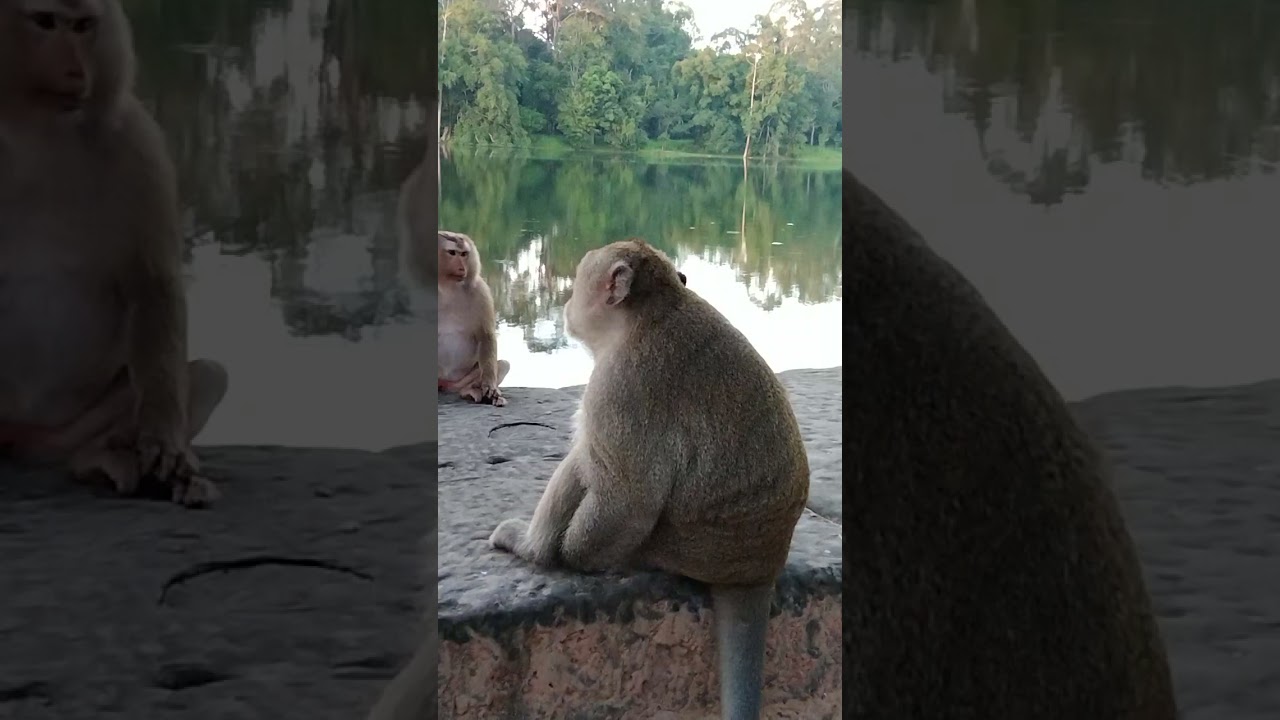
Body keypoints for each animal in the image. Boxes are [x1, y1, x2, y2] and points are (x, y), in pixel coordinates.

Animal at [0, 0, 229, 507]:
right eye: (45, 21)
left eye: (84, 26)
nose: (75, 70)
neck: (31, 127)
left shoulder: (135, 142)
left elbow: (153, 285)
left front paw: (163, 445)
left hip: (63, 435)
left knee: (209, 374)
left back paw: (102, 461)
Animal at [437, 231, 510, 407]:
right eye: (452, 253)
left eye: (464, 254)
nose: (462, 268)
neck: (447, 287)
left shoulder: (480, 291)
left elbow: (486, 336)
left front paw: (489, 387)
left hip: (457, 383)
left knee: (503, 364)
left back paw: (470, 391)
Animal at [486, 239, 809, 720]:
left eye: (577, 281)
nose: (567, 305)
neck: (653, 311)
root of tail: (757, 566)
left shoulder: (618, 387)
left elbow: (627, 502)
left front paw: (568, 558)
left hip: (669, 547)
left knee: (589, 460)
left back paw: (531, 547)